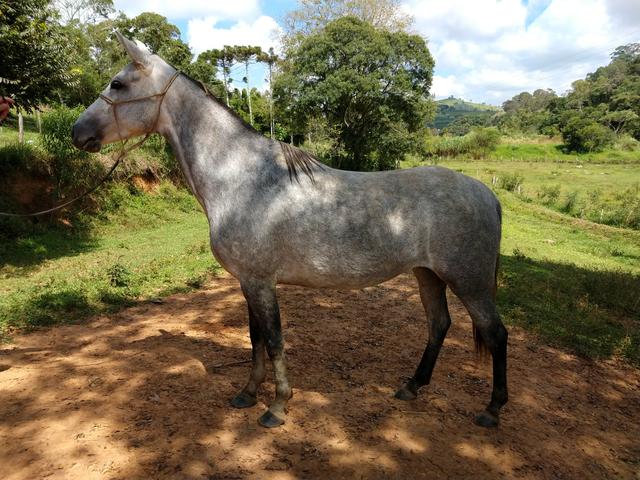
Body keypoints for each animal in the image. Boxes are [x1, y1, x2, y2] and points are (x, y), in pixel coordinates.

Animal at [72, 35, 508, 430]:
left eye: (117, 84)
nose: (77, 132)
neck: (242, 178)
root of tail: (487, 193)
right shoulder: (248, 281)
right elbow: (255, 340)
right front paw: (248, 394)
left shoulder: (261, 282)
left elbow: (275, 340)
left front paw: (278, 406)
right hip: (428, 275)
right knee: (439, 325)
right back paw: (412, 387)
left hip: (469, 281)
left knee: (496, 334)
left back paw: (491, 410)